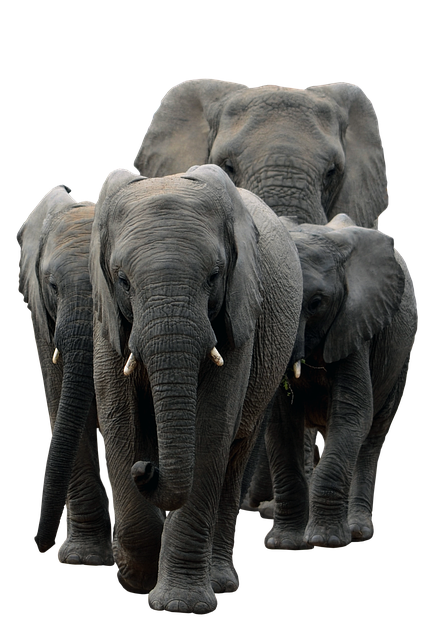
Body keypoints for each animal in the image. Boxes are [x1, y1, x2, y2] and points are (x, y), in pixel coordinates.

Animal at [89, 163, 303, 613]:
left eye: (214, 276)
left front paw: (177, 604)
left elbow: (211, 427)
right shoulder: (106, 317)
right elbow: (118, 418)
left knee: (234, 459)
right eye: (122, 280)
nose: (146, 469)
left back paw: (220, 582)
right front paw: (137, 579)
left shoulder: (241, 311)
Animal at [255, 213, 418, 549]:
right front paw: (283, 543)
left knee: (371, 437)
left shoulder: (356, 323)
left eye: (316, 302)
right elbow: (280, 424)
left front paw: (325, 541)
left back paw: (356, 531)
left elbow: (353, 414)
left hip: (400, 357)